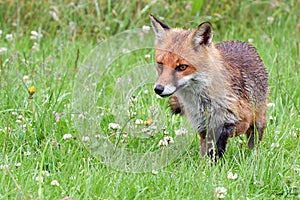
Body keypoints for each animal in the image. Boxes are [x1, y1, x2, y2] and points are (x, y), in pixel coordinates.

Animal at [150, 14, 270, 159]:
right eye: (160, 64)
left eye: (182, 67)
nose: (158, 89)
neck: (203, 103)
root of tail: (242, 42)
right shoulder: (202, 127)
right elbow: (205, 152)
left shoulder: (240, 121)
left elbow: (222, 137)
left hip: (258, 122)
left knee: (254, 144)